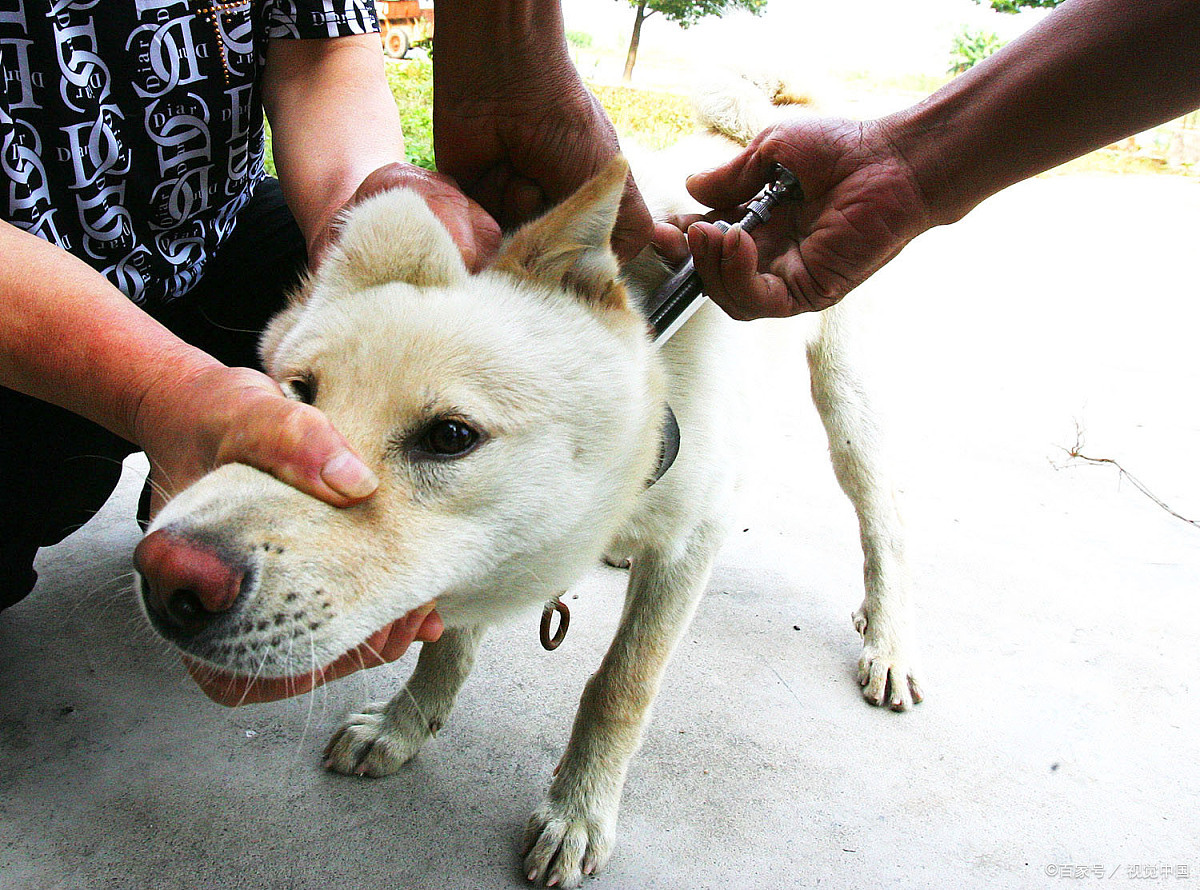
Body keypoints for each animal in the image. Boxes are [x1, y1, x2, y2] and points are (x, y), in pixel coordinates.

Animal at [133, 97, 916, 890]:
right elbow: (445, 653)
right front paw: (403, 727)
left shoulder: (693, 541)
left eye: (451, 436)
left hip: (848, 412)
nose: (166, 575)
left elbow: (620, 686)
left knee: (884, 527)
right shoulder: (488, 556)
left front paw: (578, 812)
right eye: (297, 393)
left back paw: (888, 644)